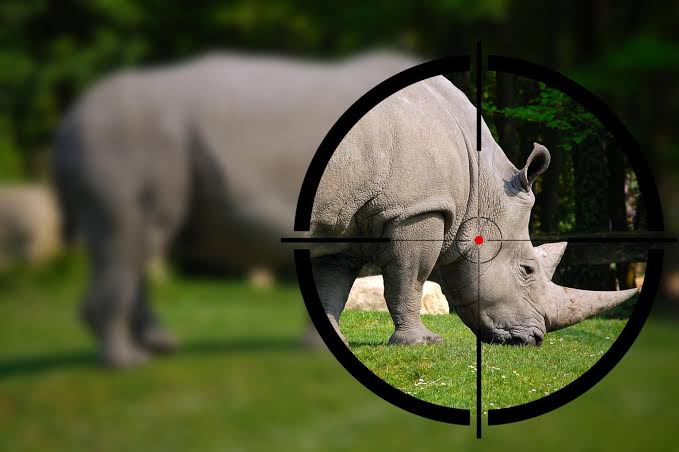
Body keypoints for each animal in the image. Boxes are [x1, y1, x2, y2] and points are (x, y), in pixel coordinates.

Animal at [52, 51, 419, 367]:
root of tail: (68, 121)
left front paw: (315, 346)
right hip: (121, 139)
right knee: (129, 240)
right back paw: (128, 363)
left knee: (134, 244)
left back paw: (157, 347)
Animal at [310, 75, 638, 346]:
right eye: (527, 270)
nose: (534, 340)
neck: (481, 183)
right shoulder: (418, 209)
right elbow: (409, 279)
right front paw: (423, 342)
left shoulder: (345, 218)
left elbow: (332, 284)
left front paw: (333, 339)